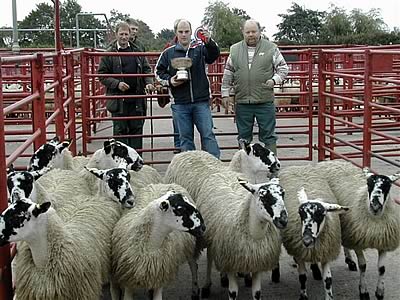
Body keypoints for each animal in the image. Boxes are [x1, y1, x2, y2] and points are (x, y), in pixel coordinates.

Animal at [195, 171, 288, 300]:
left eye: (283, 194)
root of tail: (224, 172)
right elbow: (233, 293)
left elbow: (257, 293)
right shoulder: (230, 260)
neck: (254, 234)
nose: (283, 220)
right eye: (263, 197)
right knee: (210, 257)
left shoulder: (257, 262)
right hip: (211, 237)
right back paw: (207, 285)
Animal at [276, 164, 348, 300]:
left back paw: (316, 271)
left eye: (321, 215)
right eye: (300, 214)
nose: (307, 241)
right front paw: (303, 296)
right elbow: (302, 277)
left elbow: (328, 280)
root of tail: (298, 166)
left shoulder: (325, 252)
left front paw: (329, 296)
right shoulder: (299, 252)